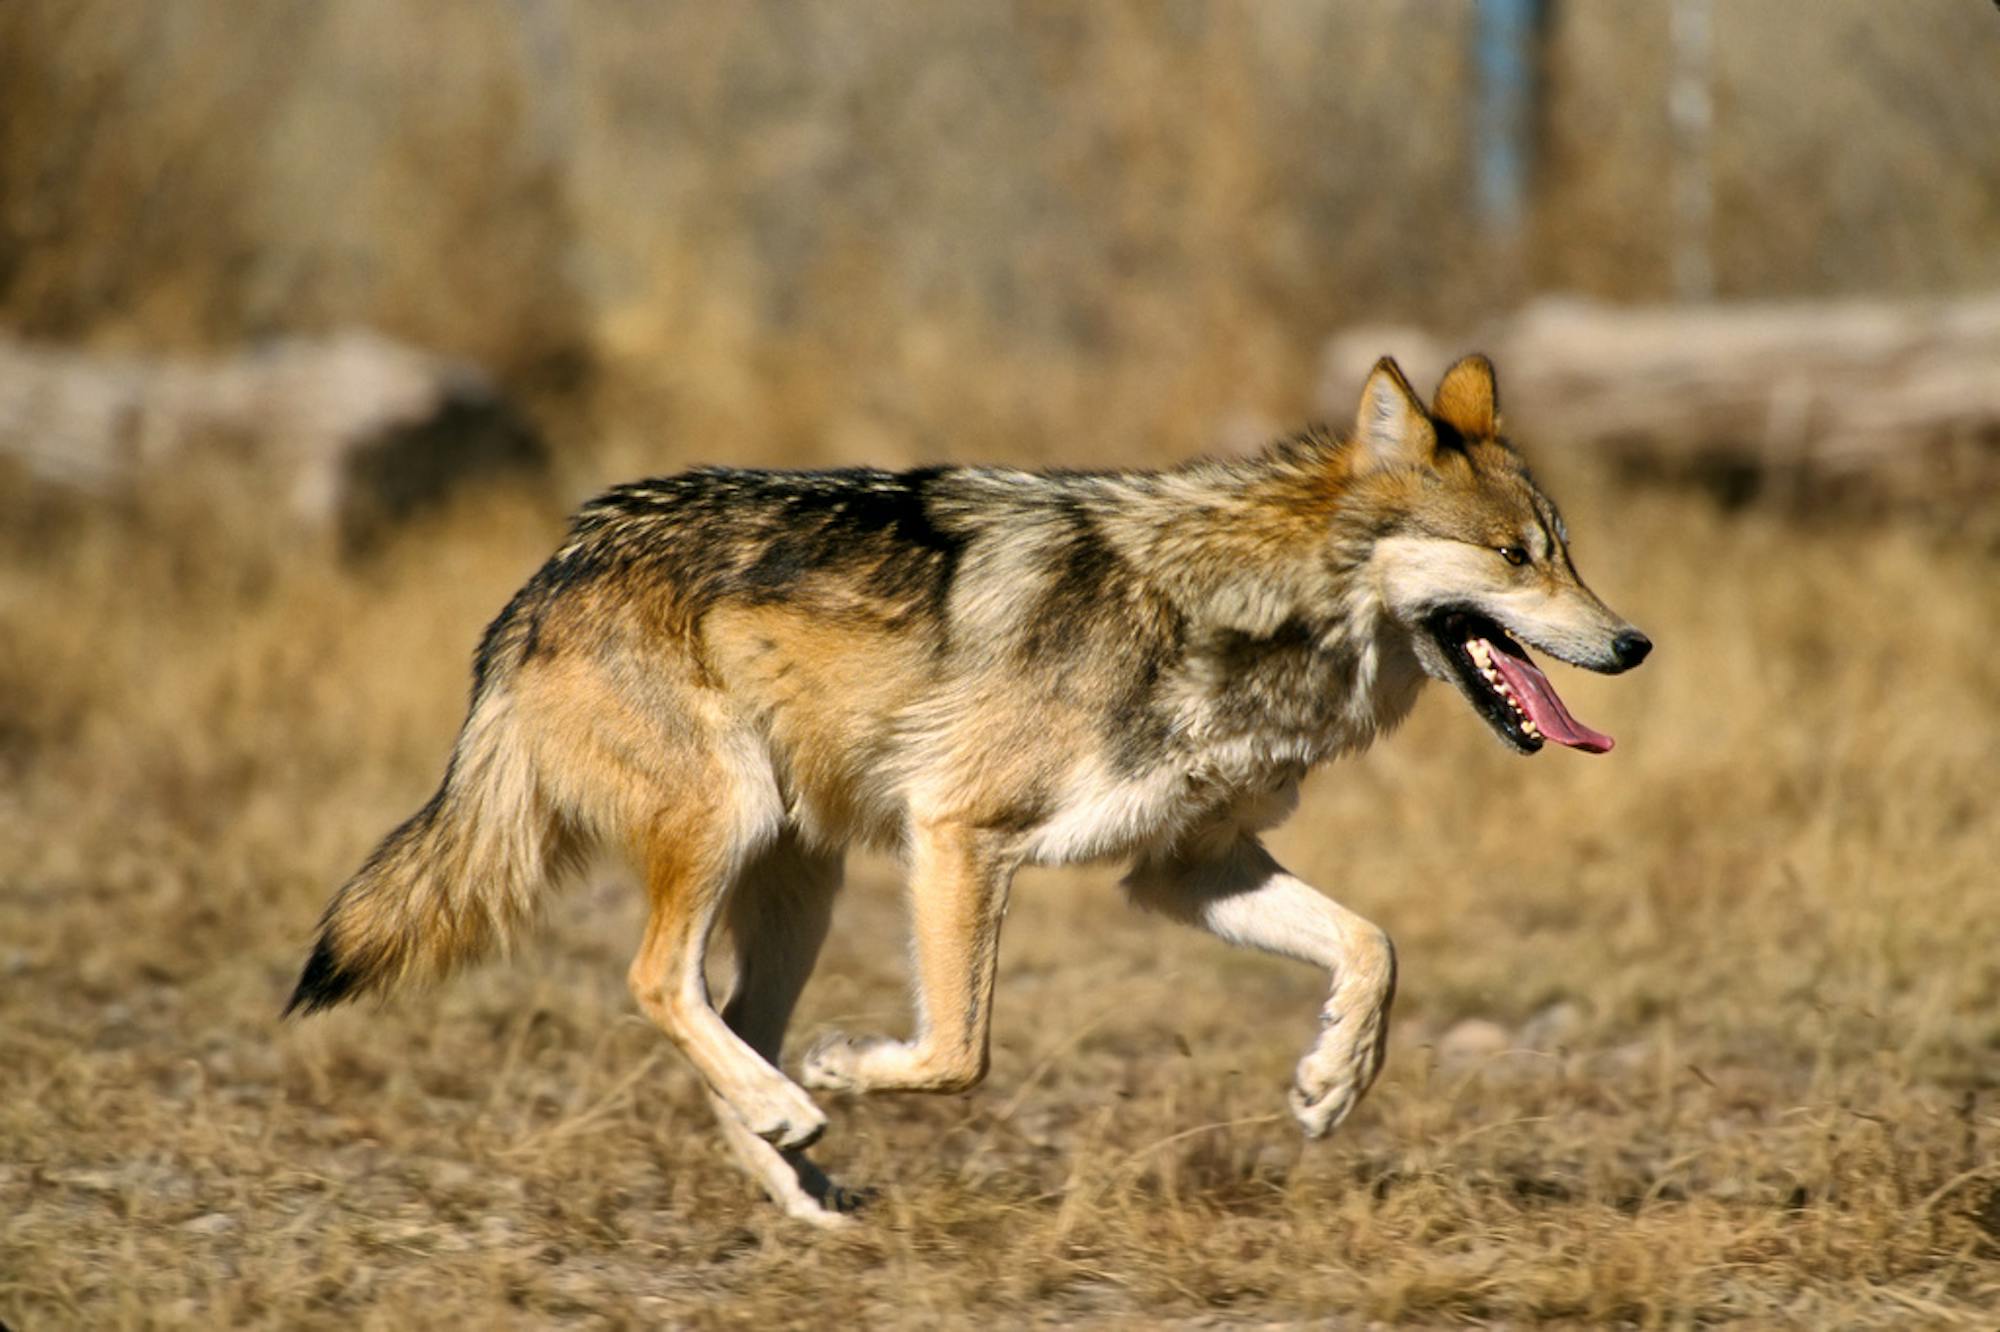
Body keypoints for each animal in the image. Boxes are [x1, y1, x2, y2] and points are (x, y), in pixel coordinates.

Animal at [286, 356, 1656, 1224]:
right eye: (1513, 557)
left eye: (1566, 553)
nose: (1635, 643)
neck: (1239, 611)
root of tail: (551, 570)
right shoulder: (958, 833)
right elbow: (957, 1053)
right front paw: (852, 1068)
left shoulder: (1184, 870)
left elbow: (1372, 946)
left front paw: (1331, 1083)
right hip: (735, 829)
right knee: (658, 984)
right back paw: (798, 1106)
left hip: (802, 885)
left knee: (725, 1019)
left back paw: (802, 1184)